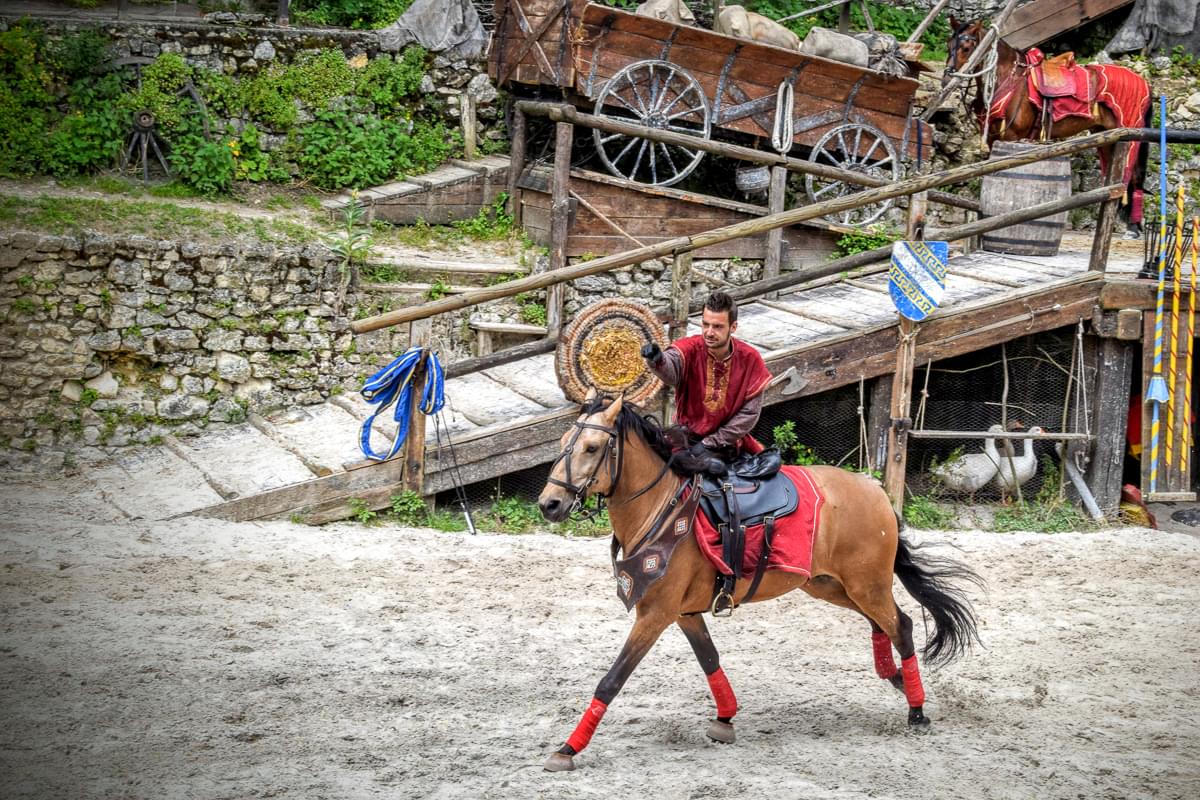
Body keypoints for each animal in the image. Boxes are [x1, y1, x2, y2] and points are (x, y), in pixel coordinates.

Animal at [536, 393, 983, 771]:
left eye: (592, 448)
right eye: (565, 442)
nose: (549, 504)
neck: (661, 508)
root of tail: (876, 492)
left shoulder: (655, 614)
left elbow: (611, 680)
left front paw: (568, 748)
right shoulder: (683, 613)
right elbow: (710, 659)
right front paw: (725, 717)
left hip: (864, 584)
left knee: (900, 625)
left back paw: (916, 709)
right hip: (830, 584)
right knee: (884, 622)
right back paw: (896, 678)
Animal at [945, 18, 1152, 235]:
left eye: (966, 48)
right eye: (948, 45)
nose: (947, 77)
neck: (1009, 80)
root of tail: (1144, 82)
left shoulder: (1011, 137)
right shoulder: (994, 139)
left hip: (1130, 136)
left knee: (1134, 175)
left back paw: (1133, 227)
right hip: (1107, 137)